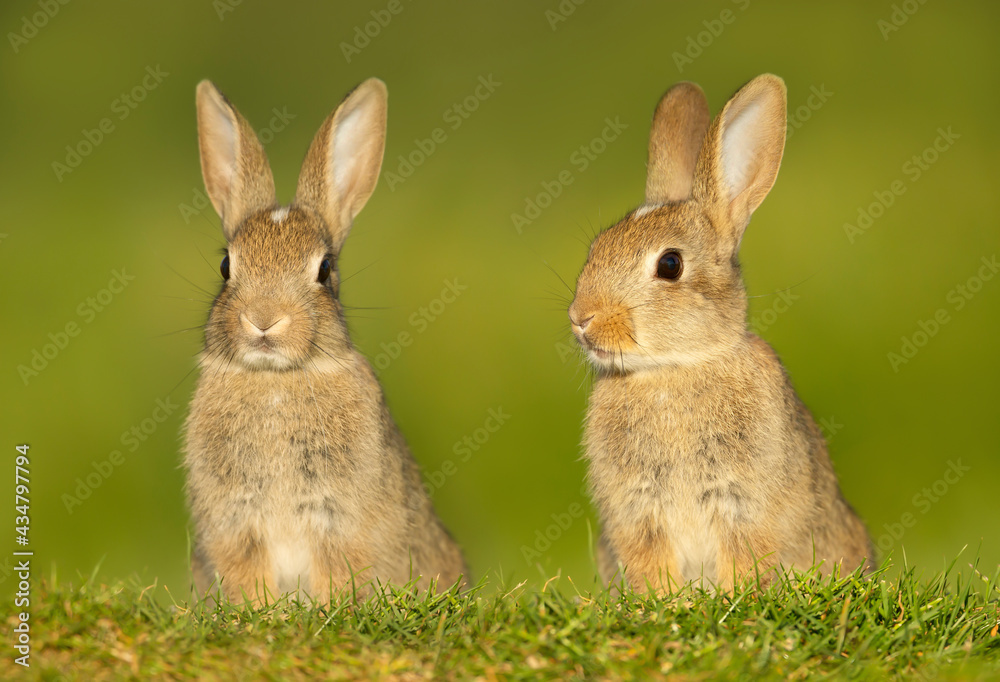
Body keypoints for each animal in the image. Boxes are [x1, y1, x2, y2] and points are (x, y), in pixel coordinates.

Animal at [183, 78, 467, 604]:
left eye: (325, 269)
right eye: (226, 266)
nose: (264, 319)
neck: (276, 381)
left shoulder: (340, 519)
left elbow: (338, 571)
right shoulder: (234, 523)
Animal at [568, 75, 873, 593]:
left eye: (670, 264)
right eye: (596, 248)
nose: (580, 317)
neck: (673, 368)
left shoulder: (743, 501)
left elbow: (743, 556)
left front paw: (730, 597)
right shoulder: (637, 511)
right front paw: (664, 601)